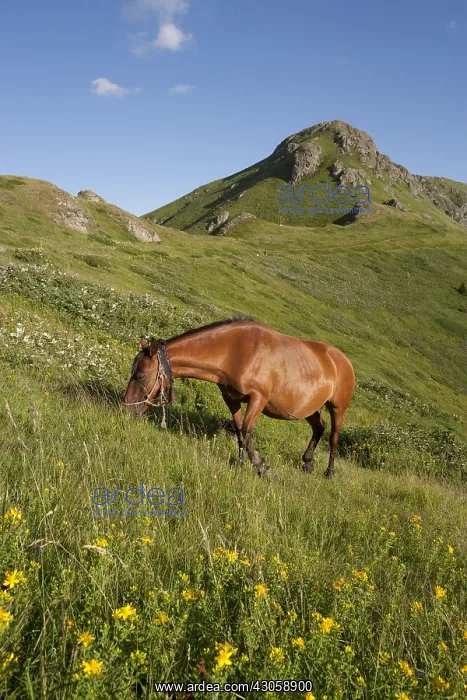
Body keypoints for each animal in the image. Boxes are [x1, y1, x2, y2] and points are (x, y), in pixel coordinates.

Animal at [124, 319, 355, 478]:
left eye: (141, 375)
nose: (127, 409)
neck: (236, 352)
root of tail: (343, 360)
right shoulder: (231, 399)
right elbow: (239, 432)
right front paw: (242, 463)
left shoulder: (258, 398)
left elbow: (246, 431)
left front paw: (263, 468)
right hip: (308, 408)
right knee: (319, 426)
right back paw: (307, 463)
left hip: (338, 408)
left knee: (333, 436)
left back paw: (329, 472)